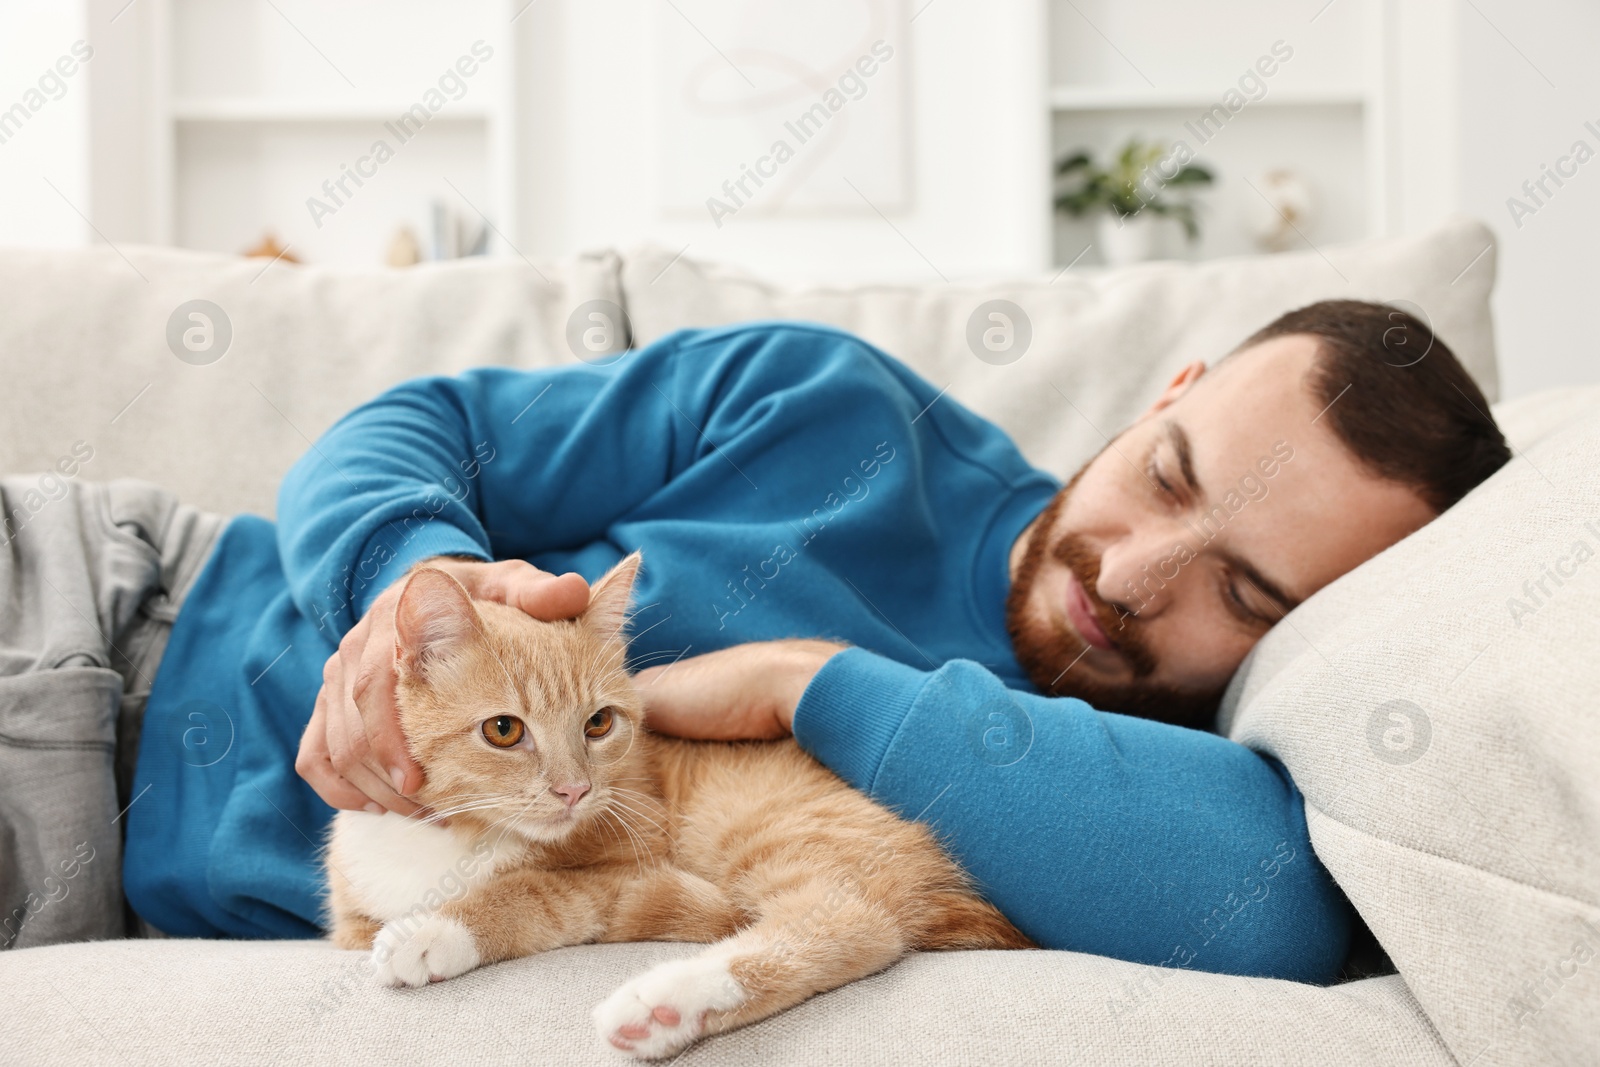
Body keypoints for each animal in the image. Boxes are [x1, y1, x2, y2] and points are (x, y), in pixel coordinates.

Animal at [321, 556, 1036, 1055]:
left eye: (599, 724)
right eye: (503, 730)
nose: (575, 791)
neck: (457, 834)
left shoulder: (625, 874)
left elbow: (530, 891)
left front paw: (432, 931)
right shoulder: (349, 921)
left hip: (762, 825)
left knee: (851, 922)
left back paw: (665, 1004)